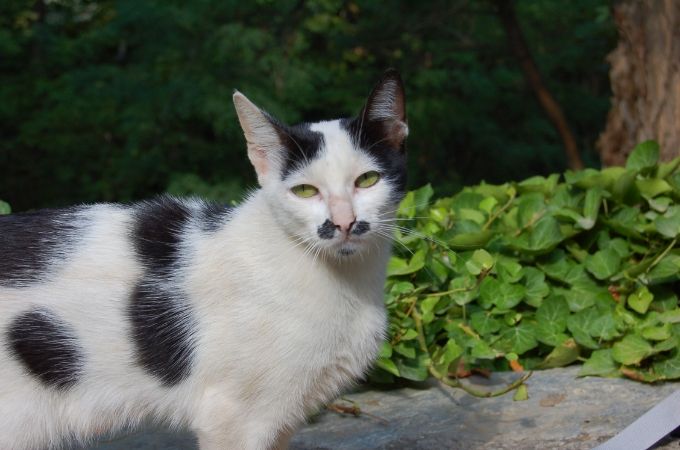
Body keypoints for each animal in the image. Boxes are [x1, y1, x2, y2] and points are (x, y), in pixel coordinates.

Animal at [0, 68, 410, 448]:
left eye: (367, 180)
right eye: (306, 191)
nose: (344, 221)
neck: (347, 283)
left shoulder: (281, 420)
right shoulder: (235, 419)